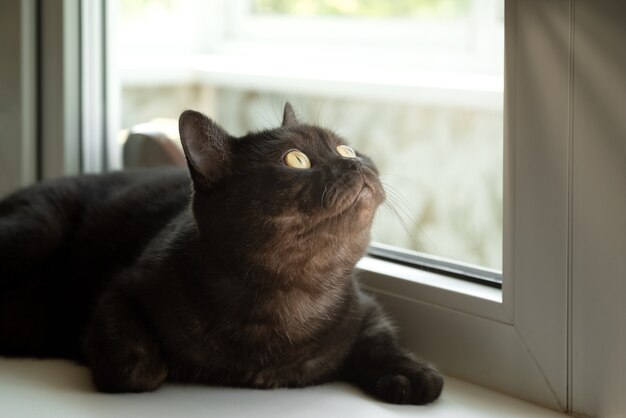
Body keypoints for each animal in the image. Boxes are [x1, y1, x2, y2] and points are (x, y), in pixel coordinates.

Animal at [0, 103, 442, 404]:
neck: (284, 302)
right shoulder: (120, 291)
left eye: (347, 150)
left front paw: (411, 374)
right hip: (34, 230)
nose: (355, 165)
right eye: (296, 159)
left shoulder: (365, 309)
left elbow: (381, 339)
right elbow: (136, 368)